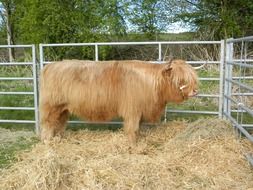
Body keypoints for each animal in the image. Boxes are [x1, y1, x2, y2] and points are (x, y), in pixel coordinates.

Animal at [39, 59, 198, 144]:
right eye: (180, 79)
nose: (195, 91)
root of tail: (49, 66)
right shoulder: (133, 110)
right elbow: (132, 129)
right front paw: (133, 144)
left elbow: (138, 128)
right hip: (51, 106)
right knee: (48, 124)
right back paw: (48, 142)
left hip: (63, 108)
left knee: (59, 123)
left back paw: (59, 139)